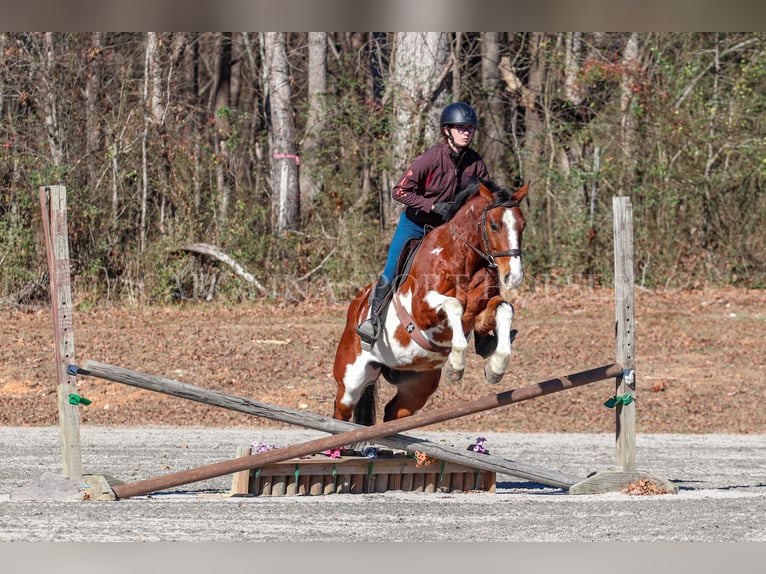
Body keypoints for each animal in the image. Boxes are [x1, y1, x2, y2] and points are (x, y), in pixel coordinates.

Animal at [332, 180, 532, 428]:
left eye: (523, 225)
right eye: (494, 226)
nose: (514, 276)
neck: (464, 259)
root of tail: (354, 310)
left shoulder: (481, 309)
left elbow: (505, 309)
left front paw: (496, 367)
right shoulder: (422, 309)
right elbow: (454, 304)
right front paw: (456, 364)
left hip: (416, 387)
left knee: (393, 413)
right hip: (351, 381)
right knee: (341, 411)